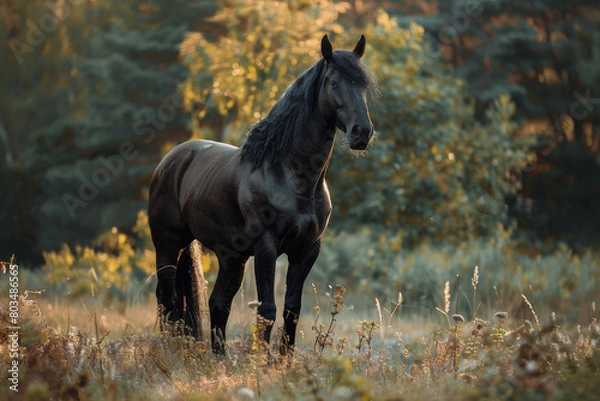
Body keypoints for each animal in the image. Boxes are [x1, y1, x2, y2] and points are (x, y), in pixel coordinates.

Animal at [149, 35, 376, 354]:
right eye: (333, 82)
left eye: (363, 85)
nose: (362, 133)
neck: (289, 175)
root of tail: (171, 159)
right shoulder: (266, 248)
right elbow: (267, 309)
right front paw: (263, 360)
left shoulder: (307, 251)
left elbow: (292, 309)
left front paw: (283, 360)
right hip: (168, 246)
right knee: (168, 300)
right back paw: (173, 351)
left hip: (231, 257)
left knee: (217, 304)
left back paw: (218, 358)